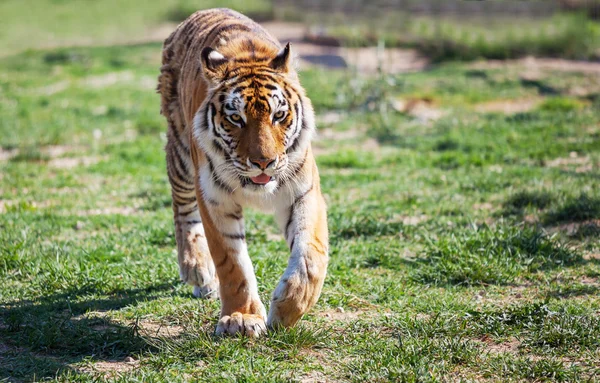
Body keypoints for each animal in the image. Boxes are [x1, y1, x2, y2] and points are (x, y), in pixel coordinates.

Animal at [156, 6, 328, 336]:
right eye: (236, 118)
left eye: (279, 115)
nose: (264, 162)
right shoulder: (215, 199)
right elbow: (232, 263)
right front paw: (241, 318)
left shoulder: (302, 192)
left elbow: (310, 256)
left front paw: (287, 309)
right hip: (181, 154)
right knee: (182, 209)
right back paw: (197, 269)